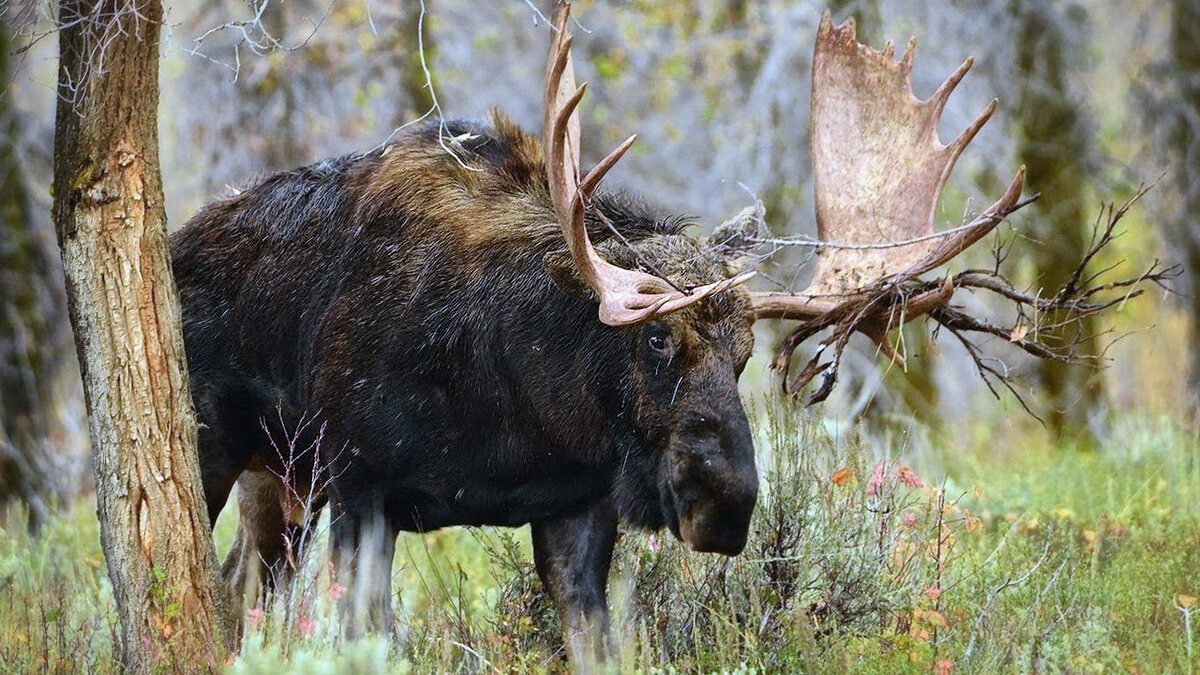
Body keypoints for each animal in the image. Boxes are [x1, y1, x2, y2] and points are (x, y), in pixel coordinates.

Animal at [171, 0, 1152, 662]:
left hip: (279, 484)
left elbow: (598, 645)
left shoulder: (575, 506)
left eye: (746, 353)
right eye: (653, 340)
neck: (513, 408)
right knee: (221, 587)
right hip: (227, 450)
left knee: (235, 586)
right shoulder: (365, 483)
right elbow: (365, 636)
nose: (727, 502)